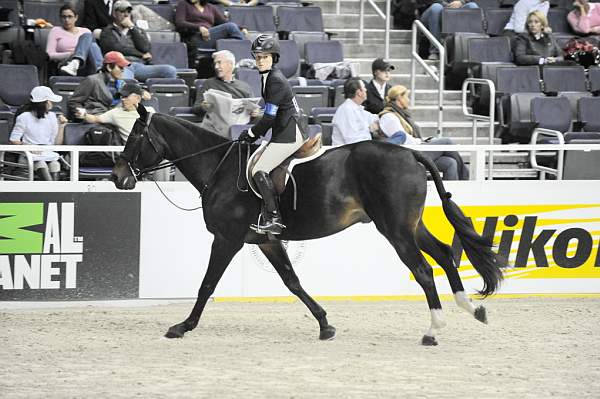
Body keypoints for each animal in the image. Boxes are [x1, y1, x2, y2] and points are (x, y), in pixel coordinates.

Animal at [110, 108, 504, 348]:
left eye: (135, 137)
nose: (117, 177)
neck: (219, 167)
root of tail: (409, 153)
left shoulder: (227, 239)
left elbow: (207, 285)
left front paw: (182, 327)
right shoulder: (266, 240)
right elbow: (292, 281)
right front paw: (325, 325)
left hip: (395, 230)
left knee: (423, 269)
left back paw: (433, 329)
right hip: (411, 225)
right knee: (444, 254)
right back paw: (472, 309)